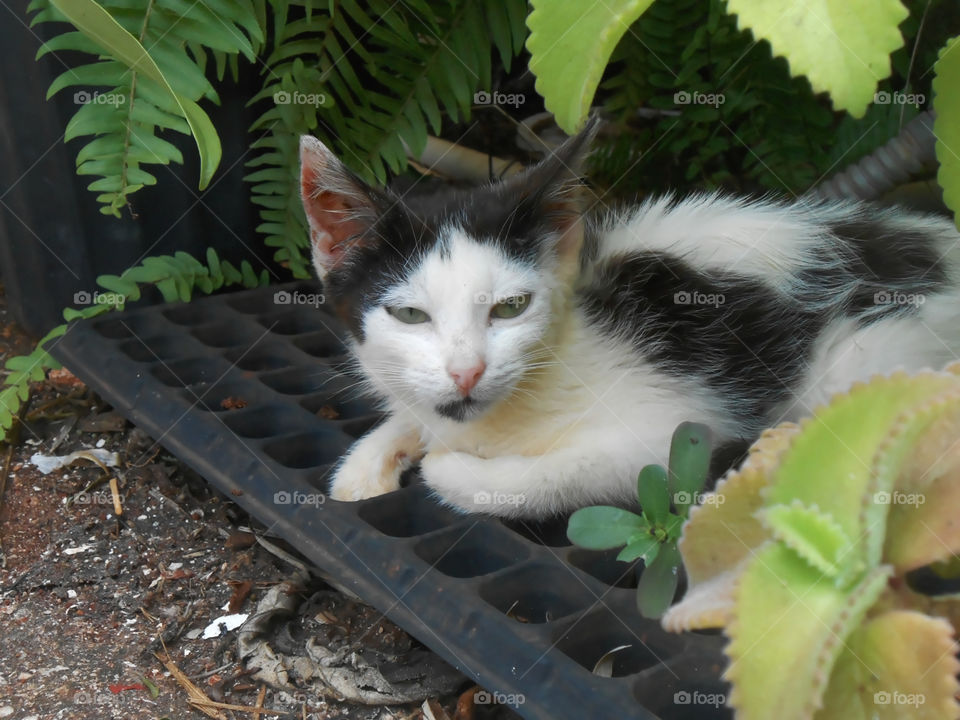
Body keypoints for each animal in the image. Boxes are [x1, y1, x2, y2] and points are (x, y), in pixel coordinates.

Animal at [298, 122, 960, 516]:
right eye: (410, 314)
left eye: (511, 307)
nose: (466, 373)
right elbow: (413, 413)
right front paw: (368, 464)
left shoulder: (674, 427)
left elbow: (553, 476)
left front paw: (445, 468)